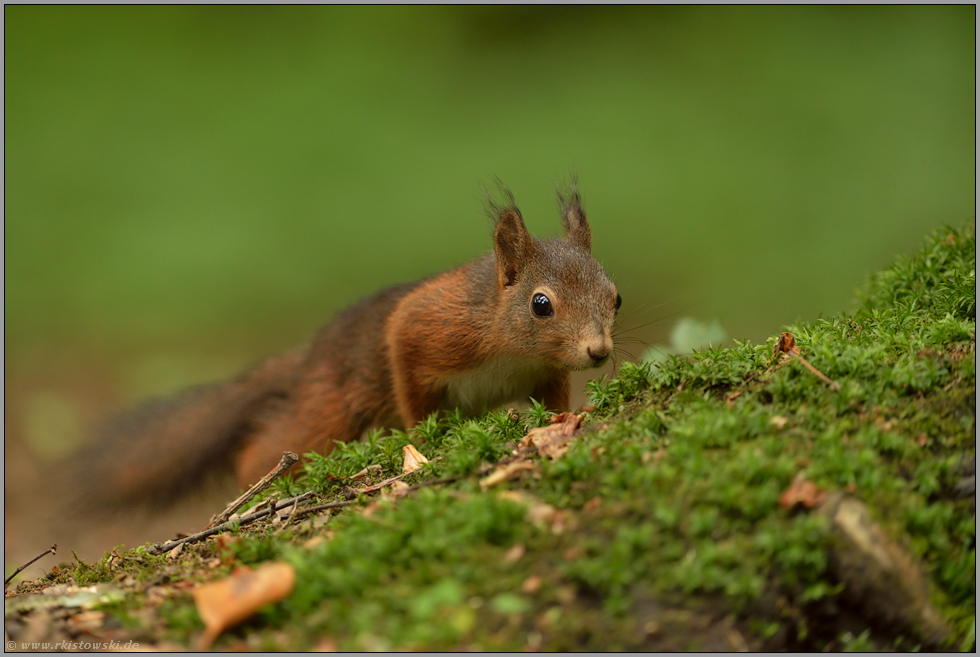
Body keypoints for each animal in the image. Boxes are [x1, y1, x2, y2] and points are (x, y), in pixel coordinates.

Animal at [74, 182, 620, 510]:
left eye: (616, 296)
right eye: (541, 305)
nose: (598, 352)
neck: (511, 349)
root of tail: (308, 358)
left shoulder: (545, 371)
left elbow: (553, 401)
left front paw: (564, 420)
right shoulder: (428, 327)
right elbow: (409, 378)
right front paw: (425, 440)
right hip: (329, 409)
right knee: (263, 449)